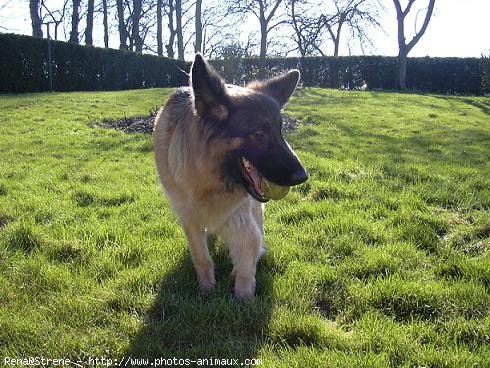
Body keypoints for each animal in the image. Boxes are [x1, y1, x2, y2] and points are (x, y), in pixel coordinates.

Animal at [154, 53, 306, 298]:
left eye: (280, 130)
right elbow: (202, 259)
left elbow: (246, 265)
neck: (208, 182)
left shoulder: (241, 222)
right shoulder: (190, 221)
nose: (303, 176)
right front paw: (207, 291)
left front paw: (244, 300)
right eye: (259, 132)